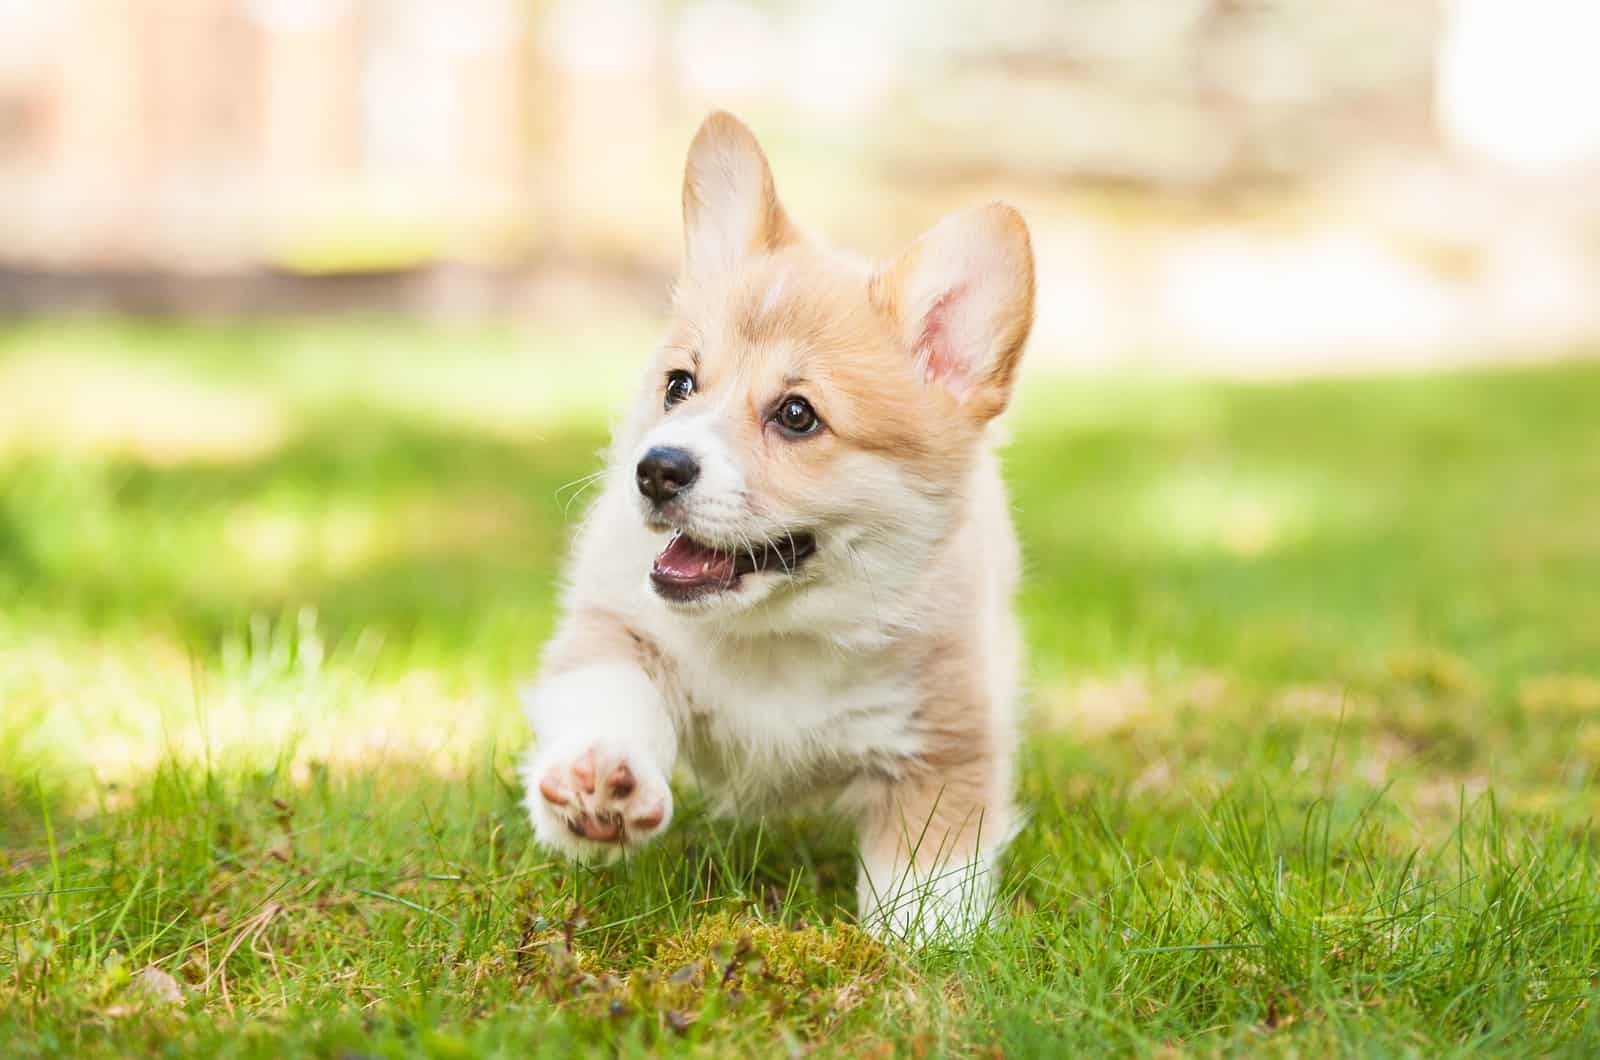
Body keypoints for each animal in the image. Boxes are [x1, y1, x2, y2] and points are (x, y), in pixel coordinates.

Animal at [518, 112, 1030, 941]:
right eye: (679, 385)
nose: (657, 469)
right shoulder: (616, 626)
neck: (779, 636)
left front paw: (916, 947)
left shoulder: (945, 735)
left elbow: (928, 874)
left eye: (797, 415)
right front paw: (599, 782)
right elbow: (610, 692)